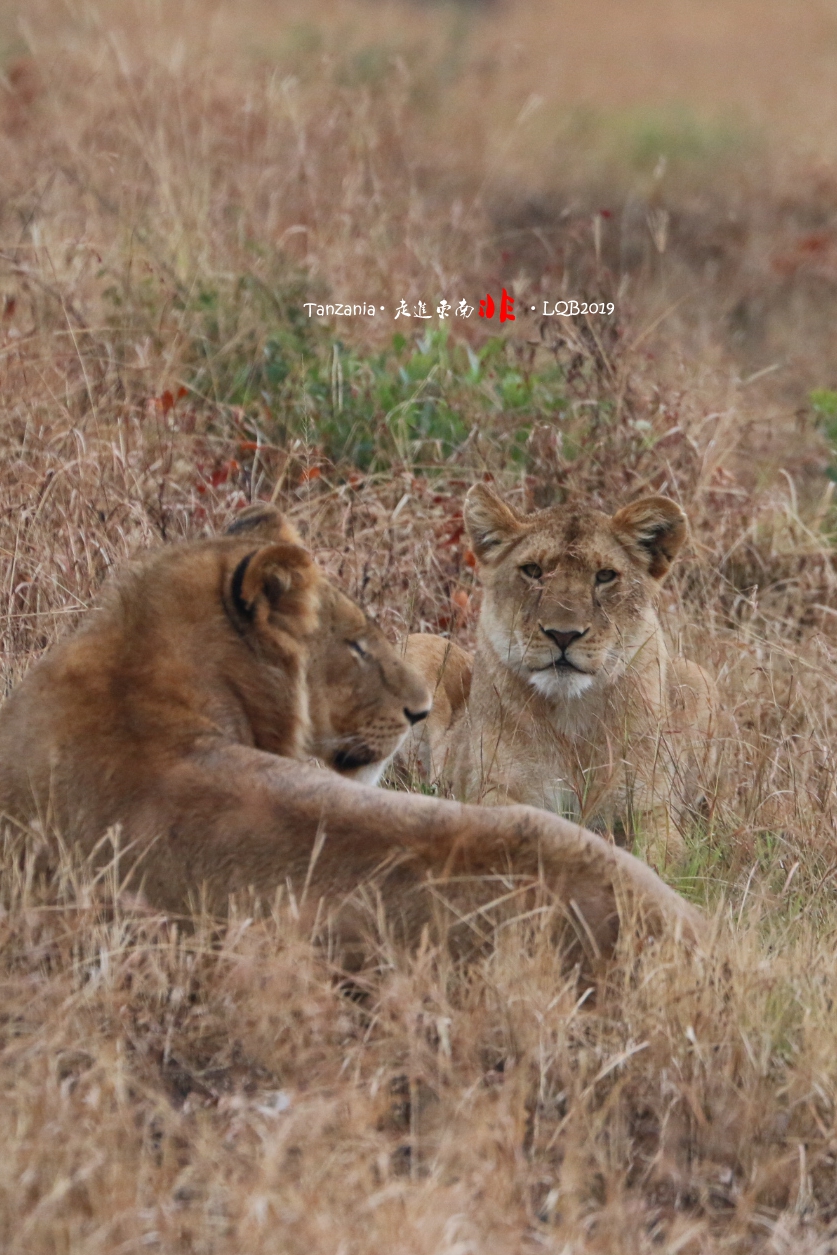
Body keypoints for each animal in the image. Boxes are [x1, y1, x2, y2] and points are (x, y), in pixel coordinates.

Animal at [406, 484, 712, 868]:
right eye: (533, 570)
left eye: (605, 575)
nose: (563, 635)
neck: (571, 719)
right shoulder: (489, 790)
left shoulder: (652, 809)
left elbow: (663, 857)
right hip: (417, 644)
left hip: (697, 676)